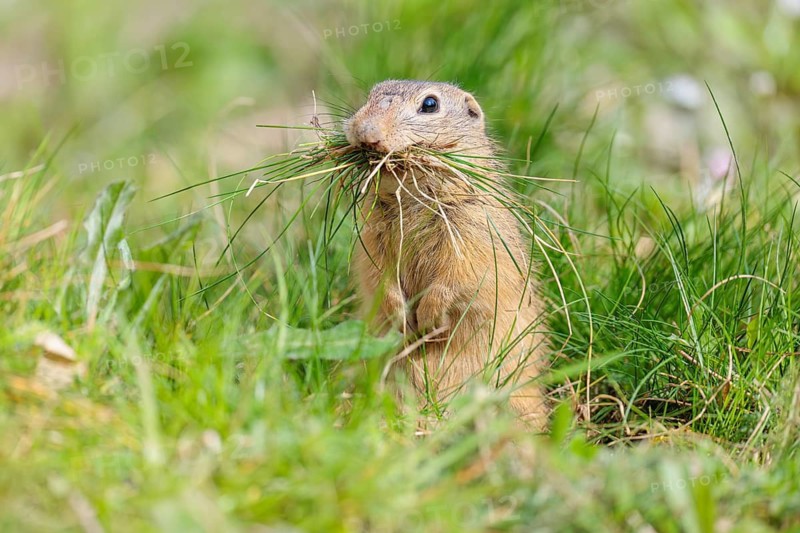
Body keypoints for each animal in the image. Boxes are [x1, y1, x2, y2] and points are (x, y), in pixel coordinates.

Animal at [344, 80, 549, 429]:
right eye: (371, 94)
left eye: (430, 104)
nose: (366, 132)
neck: (412, 194)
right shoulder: (372, 238)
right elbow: (379, 275)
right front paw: (402, 317)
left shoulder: (471, 233)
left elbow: (456, 279)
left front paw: (428, 320)